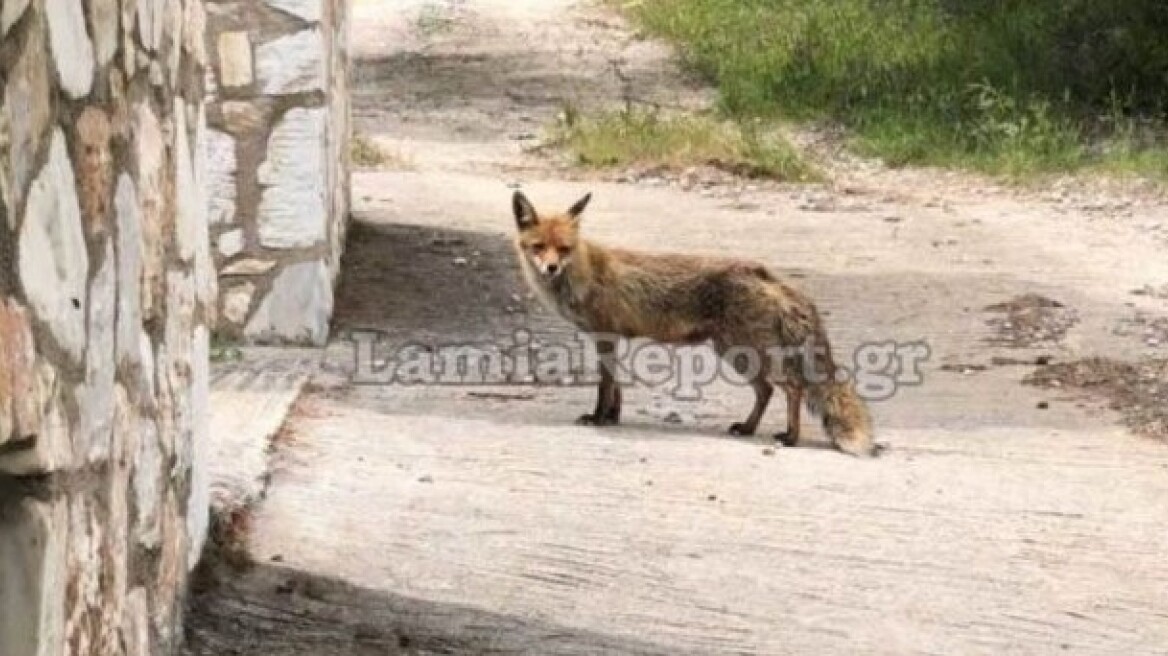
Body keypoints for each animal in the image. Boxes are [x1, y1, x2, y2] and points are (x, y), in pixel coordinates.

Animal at [511, 189, 878, 455]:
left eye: (563, 248)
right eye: (538, 246)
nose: (550, 268)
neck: (585, 272)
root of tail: (766, 274)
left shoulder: (605, 335)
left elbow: (605, 386)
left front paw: (599, 418)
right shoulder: (612, 339)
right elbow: (617, 386)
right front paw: (613, 417)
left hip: (748, 350)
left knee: (793, 387)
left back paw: (790, 437)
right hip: (735, 352)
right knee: (767, 390)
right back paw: (748, 428)